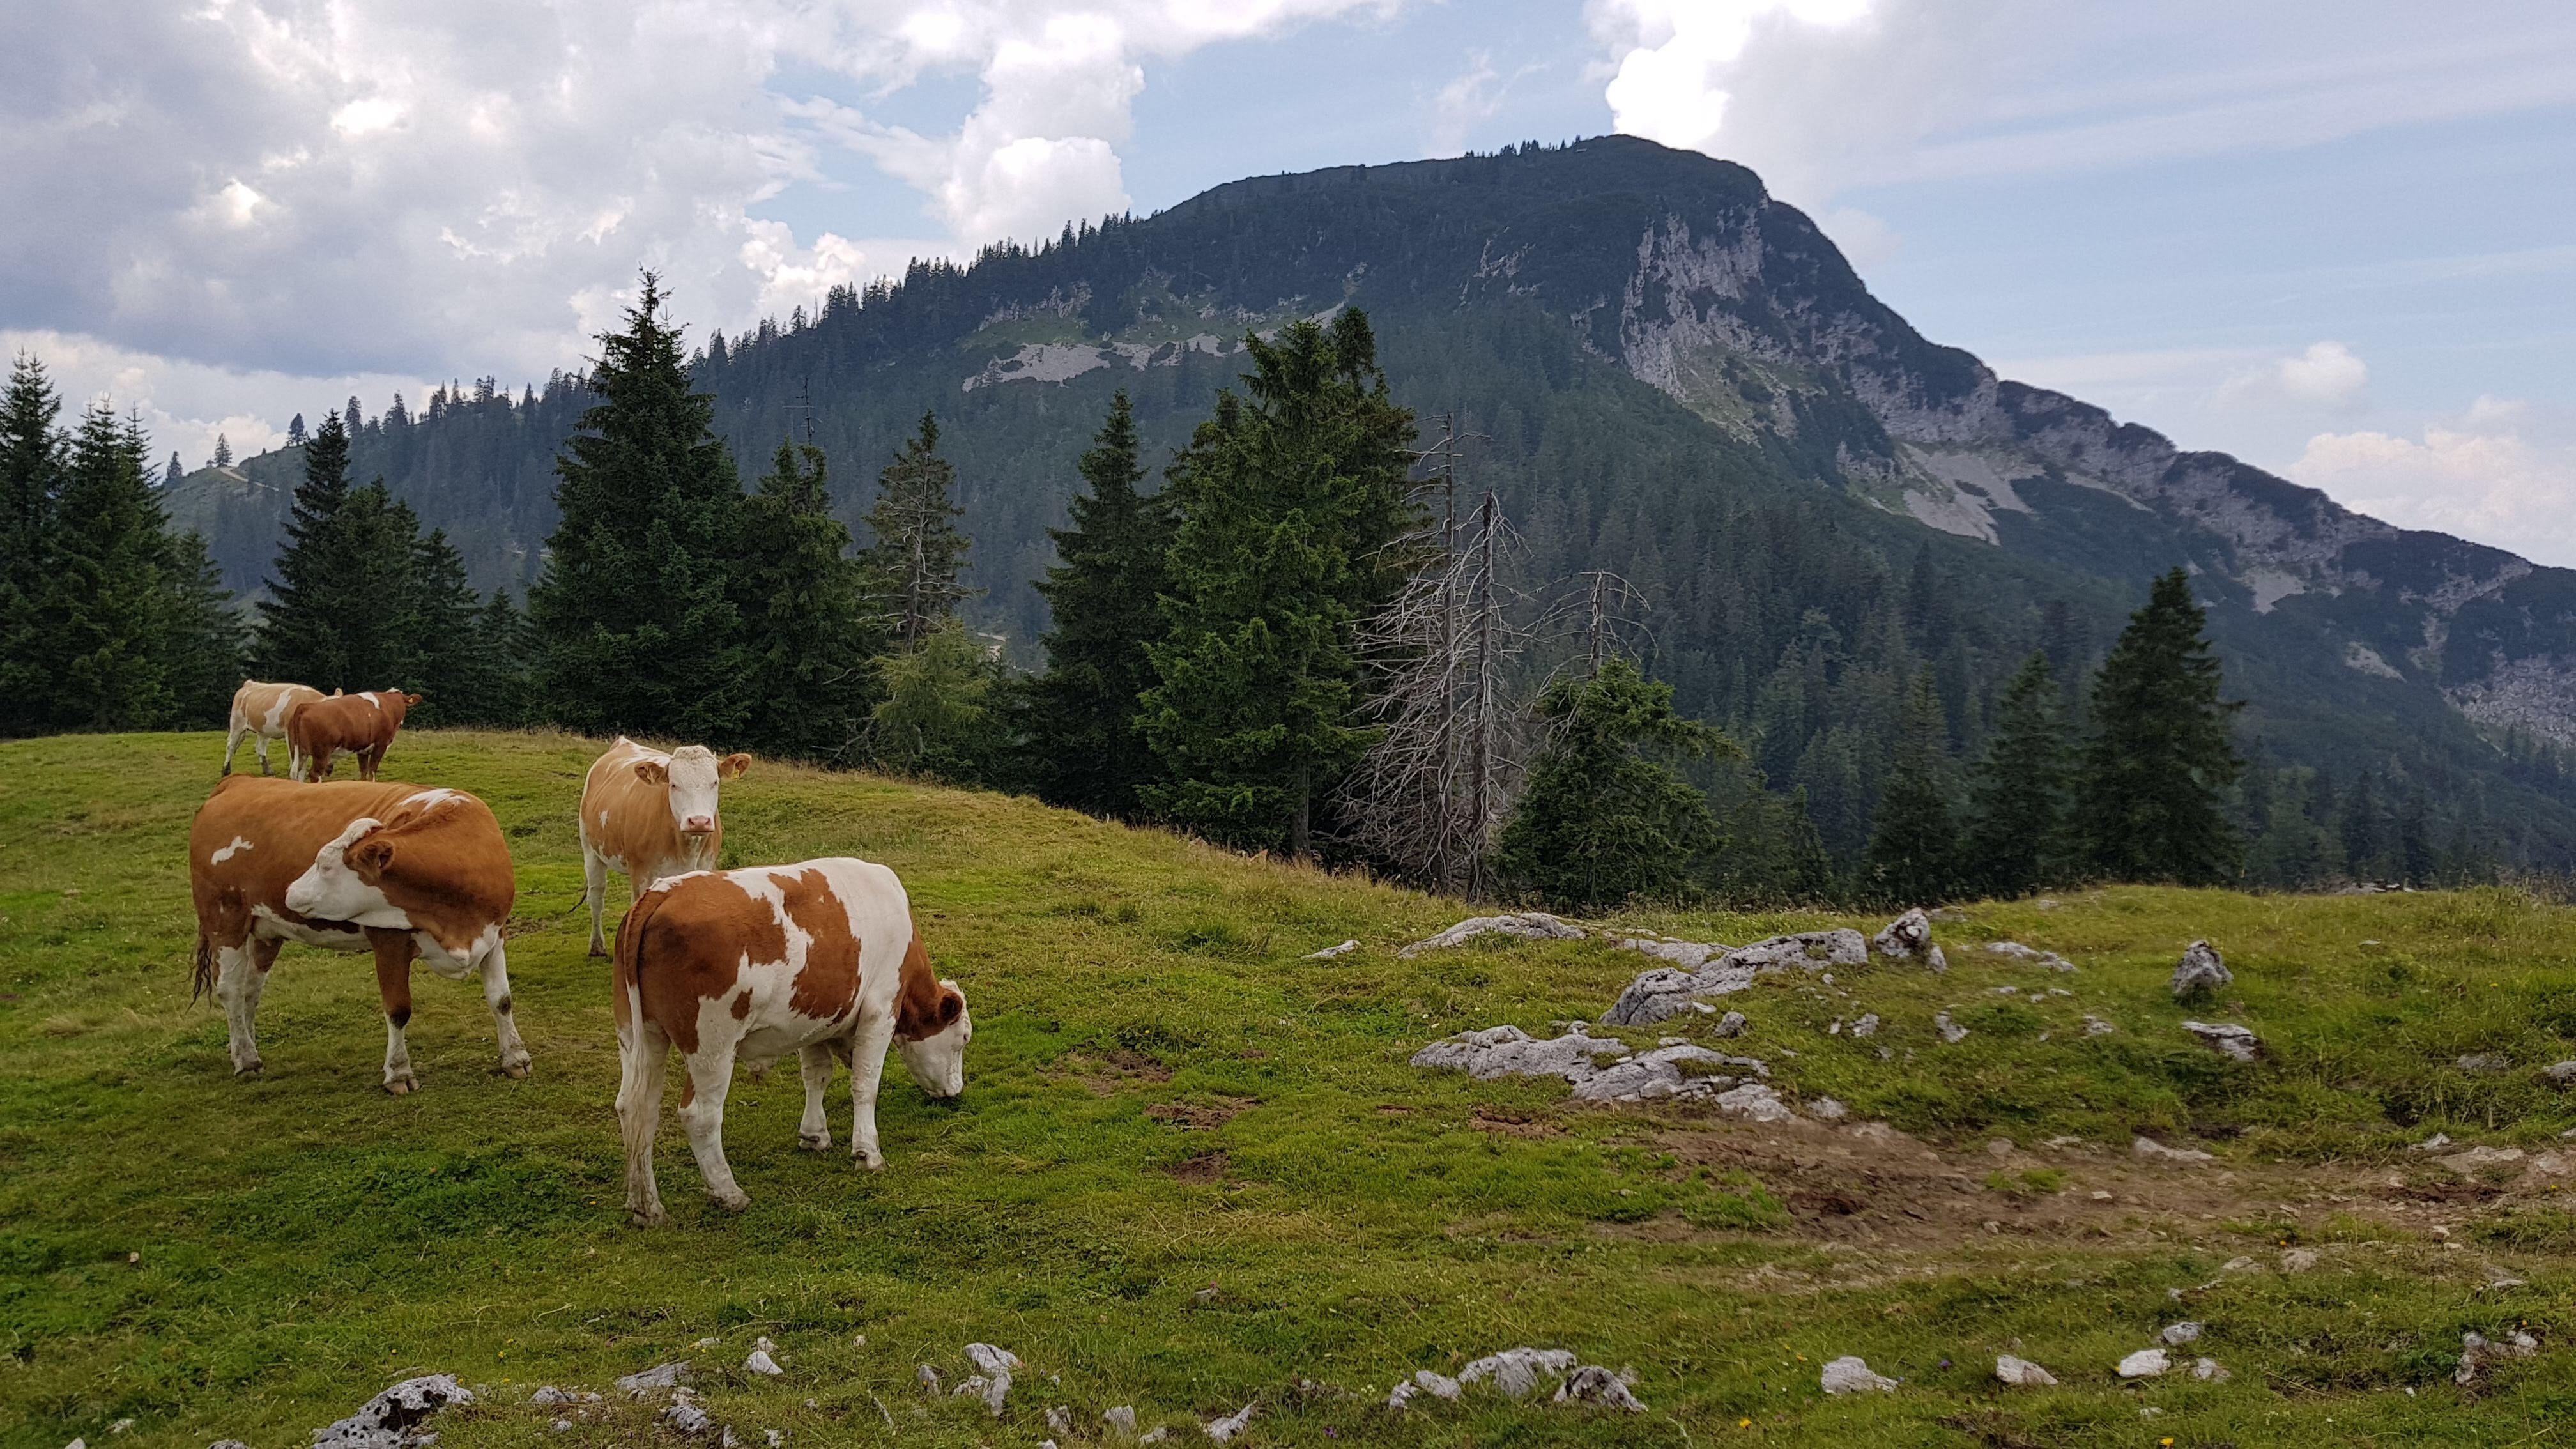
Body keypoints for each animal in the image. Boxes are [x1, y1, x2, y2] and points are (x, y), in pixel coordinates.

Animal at [189, 774, 527, 1093]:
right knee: (231, 989)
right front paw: (398, 1072)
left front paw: (515, 1057)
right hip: (224, 918)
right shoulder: (389, 942)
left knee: (251, 990)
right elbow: (398, 1010)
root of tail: (238, 781)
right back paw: (246, 1058)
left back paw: (244, 1047)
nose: (289, 892)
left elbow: (501, 999)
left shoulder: (494, 934)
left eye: (324, 866)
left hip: (265, 931)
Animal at [223, 680, 332, 777]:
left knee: (260, 748)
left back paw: (268, 771)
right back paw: (226, 770)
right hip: (237, 724)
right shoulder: (290, 733)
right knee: (231, 746)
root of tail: (249, 684)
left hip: (264, 730)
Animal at [288, 690, 423, 782]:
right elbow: (372, 771)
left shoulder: (363, 750)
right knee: (315, 774)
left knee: (299, 774)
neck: (389, 707)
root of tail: (306, 706)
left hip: (299, 752)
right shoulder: (381, 745)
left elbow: (364, 772)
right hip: (322, 753)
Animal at [578, 736, 751, 957]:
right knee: (597, 895)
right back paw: (597, 946)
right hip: (590, 848)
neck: (686, 849)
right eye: (674, 785)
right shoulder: (643, 875)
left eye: (715, 782)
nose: (699, 821)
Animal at [611, 858, 969, 1224]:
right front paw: (867, 1154)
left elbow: (816, 1076)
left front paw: (814, 1135)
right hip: (712, 1045)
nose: (956, 1090)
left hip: (640, 1034)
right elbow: (865, 1085)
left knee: (636, 1108)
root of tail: (661, 893)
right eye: (964, 1039)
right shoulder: (881, 1008)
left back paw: (646, 1206)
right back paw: (728, 1193)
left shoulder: (814, 1019)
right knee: (700, 1115)